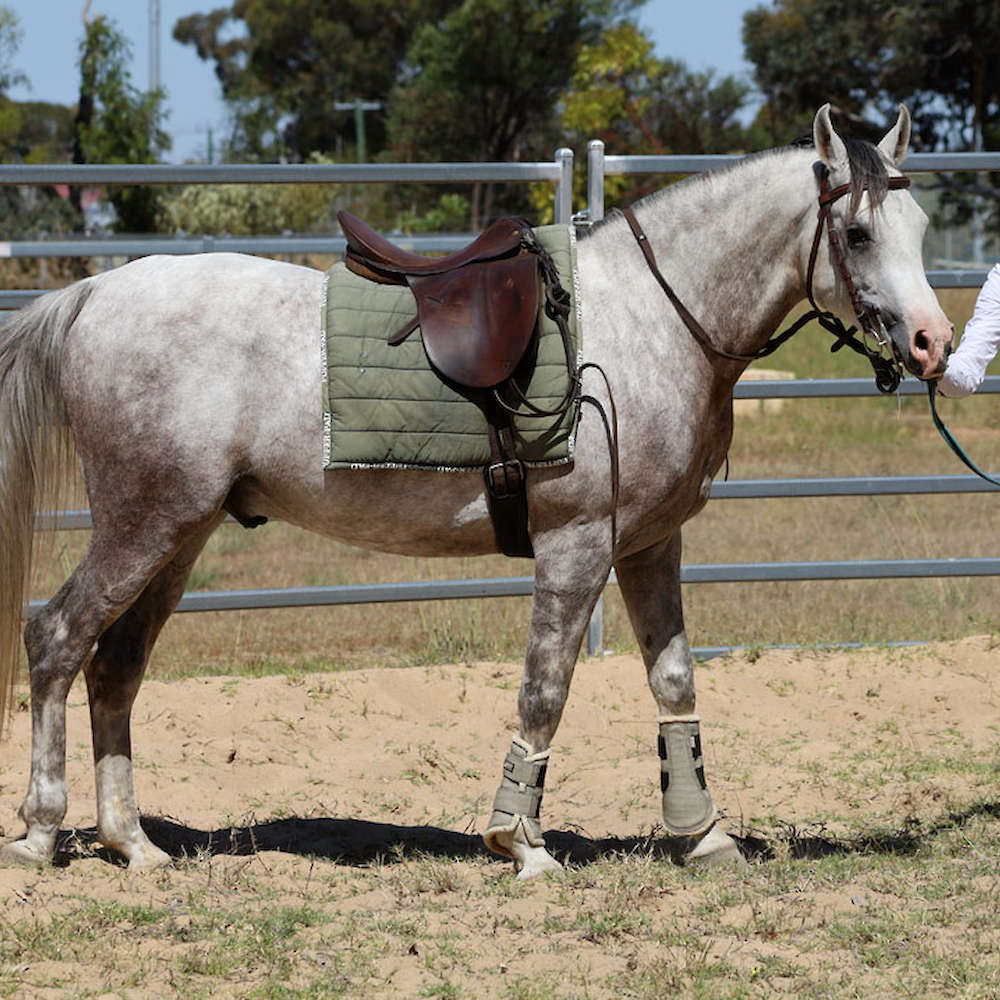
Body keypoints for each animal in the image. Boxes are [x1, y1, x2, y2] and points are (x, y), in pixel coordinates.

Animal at [0, 105, 952, 877]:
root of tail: (91, 293)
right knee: (56, 640)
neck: (654, 317)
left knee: (115, 668)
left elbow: (675, 681)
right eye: (858, 235)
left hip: (181, 534)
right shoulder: (576, 546)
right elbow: (545, 688)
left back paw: (133, 844)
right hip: (143, 525)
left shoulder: (649, 545)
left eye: (919, 223)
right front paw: (519, 842)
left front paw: (704, 835)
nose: (934, 343)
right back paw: (41, 833)